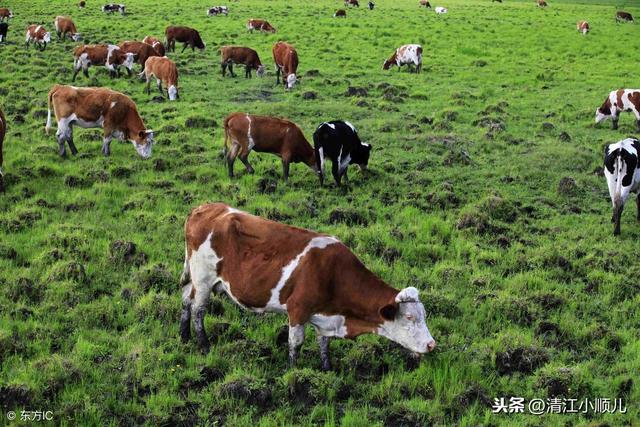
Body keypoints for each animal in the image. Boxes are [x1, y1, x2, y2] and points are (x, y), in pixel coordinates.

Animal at [180, 204, 440, 368]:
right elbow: (295, 344)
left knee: (185, 300)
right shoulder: (298, 310)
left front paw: (327, 369)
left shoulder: (326, 318)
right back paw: (203, 344)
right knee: (198, 310)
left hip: (194, 278)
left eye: (425, 315)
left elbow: (324, 345)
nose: (431, 344)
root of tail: (206, 208)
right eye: (409, 318)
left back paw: (184, 337)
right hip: (203, 279)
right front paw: (293, 372)